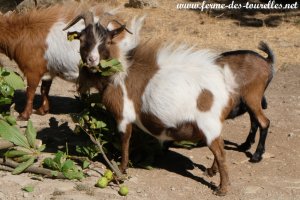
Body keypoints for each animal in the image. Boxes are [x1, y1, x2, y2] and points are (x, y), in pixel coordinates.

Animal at [65, 12, 274, 195]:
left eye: (107, 41)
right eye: (82, 40)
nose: (92, 60)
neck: (118, 73)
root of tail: (226, 87)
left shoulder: (123, 115)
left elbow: (125, 142)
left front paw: (122, 170)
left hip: (211, 122)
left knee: (223, 152)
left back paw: (223, 188)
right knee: (221, 146)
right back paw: (211, 171)